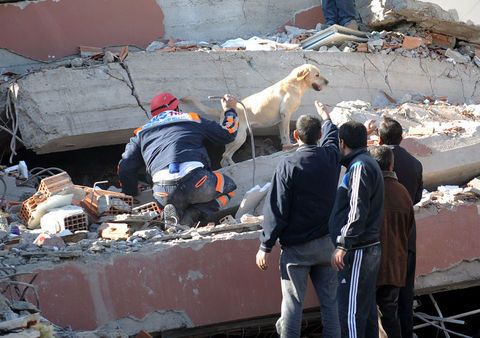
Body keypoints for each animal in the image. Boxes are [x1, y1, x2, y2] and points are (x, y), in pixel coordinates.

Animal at [182, 64, 328, 167]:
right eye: (317, 75)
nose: (327, 82)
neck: (295, 84)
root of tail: (223, 111)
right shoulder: (286, 114)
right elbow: (286, 134)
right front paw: (289, 146)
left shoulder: (281, 119)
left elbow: (283, 134)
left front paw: (285, 146)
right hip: (240, 137)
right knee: (226, 155)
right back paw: (236, 166)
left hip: (233, 140)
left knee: (223, 159)